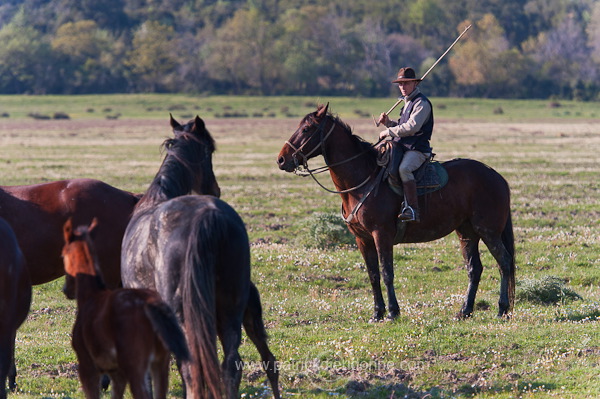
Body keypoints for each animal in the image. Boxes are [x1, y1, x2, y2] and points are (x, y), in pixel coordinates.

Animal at [61, 219, 189, 399]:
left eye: (63, 255)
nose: (66, 289)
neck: (93, 296)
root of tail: (150, 305)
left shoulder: (87, 368)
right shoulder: (117, 374)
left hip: (135, 367)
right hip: (160, 363)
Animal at [276, 104, 516, 322]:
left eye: (306, 128)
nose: (281, 160)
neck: (363, 179)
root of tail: (497, 176)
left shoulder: (381, 235)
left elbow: (386, 272)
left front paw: (392, 312)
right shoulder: (362, 239)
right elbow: (373, 275)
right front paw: (377, 313)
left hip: (489, 232)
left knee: (504, 262)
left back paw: (502, 309)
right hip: (467, 233)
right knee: (475, 269)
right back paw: (465, 311)